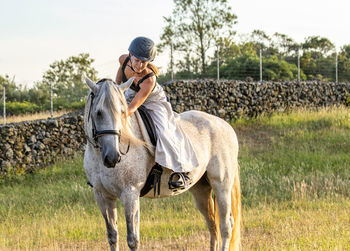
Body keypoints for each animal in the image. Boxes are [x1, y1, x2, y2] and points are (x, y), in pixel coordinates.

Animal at [83, 77, 241, 250]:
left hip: (221, 185)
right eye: (98, 113)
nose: (112, 157)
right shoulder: (103, 196)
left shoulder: (130, 194)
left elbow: (132, 239)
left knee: (226, 225)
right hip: (201, 190)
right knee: (212, 224)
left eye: (123, 112)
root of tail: (225, 125)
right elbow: (112, 236)